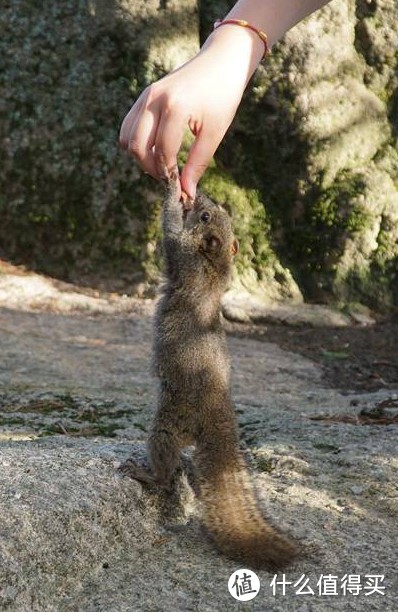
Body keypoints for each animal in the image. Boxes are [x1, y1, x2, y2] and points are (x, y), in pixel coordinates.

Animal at [123, 173, 300, 568]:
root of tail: (219, 413)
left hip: (170, 423)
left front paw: (173, 188)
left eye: (205, 216)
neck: (215, 265)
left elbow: (170, 226)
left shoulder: (183, 252)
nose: (200, 194)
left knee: (165, 468)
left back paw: (146, 473)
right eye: (214, 211)